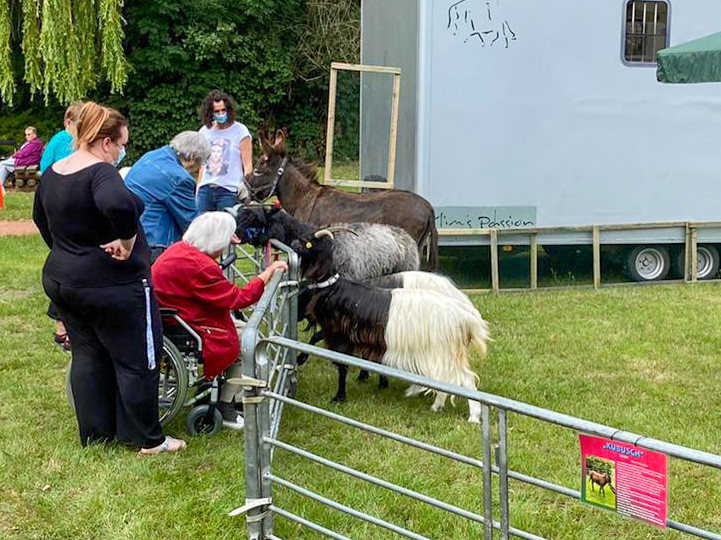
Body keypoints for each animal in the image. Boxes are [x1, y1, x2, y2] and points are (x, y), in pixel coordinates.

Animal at [292, 231, 490, 422]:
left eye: (309, 244)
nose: (293, 244)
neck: (333, 287)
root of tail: (466, 316)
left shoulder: (340, 337)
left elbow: (341, 365)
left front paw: (339, 396)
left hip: (442, 352)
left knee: (464, 378)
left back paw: (471, 416)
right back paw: (435, 404)